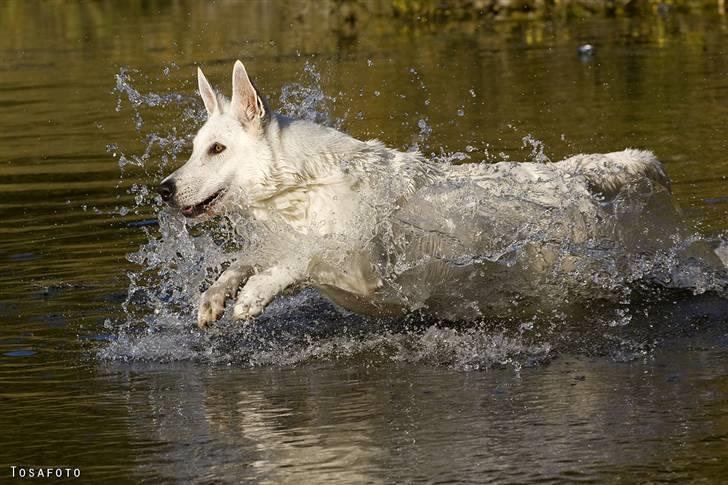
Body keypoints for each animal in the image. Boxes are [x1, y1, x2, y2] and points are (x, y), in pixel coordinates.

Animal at [156, 58, 720, 328]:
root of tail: (603, 169)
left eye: (217, 149)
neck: (302, 185)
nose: (163, 189)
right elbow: (242, 262)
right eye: (195, 148)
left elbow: (305, 258)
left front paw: (254, 297)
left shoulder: (362, 268)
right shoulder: (277, 239)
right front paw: (214, 299)